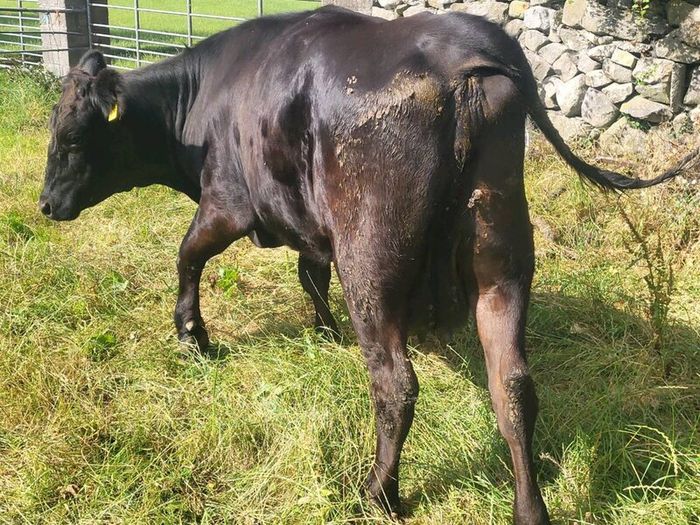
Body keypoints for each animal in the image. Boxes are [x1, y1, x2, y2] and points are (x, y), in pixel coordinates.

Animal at [38, 6, 698, 524]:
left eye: (71, 138)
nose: (45, 204)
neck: (206, 98)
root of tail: (464, 49)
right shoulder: (308, 225)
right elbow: (309, 273)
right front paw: (323, 329)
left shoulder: (226, 201)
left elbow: (188, 256)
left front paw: (192, 334)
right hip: (502, 254)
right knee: (512, 384)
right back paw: (528, 507)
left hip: (372, 261)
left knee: (396, 384)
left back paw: (379, 492)